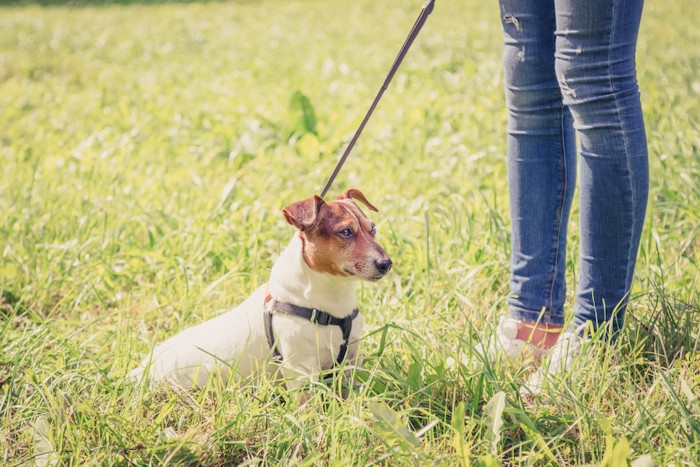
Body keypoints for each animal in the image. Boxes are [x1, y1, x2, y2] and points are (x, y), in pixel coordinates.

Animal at [130, 188, 394, 396]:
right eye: (345, 232)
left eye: (373, 229)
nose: (386, 263)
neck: (331, 301)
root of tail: (140, 371)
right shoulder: (301, 371)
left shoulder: (351, 361)